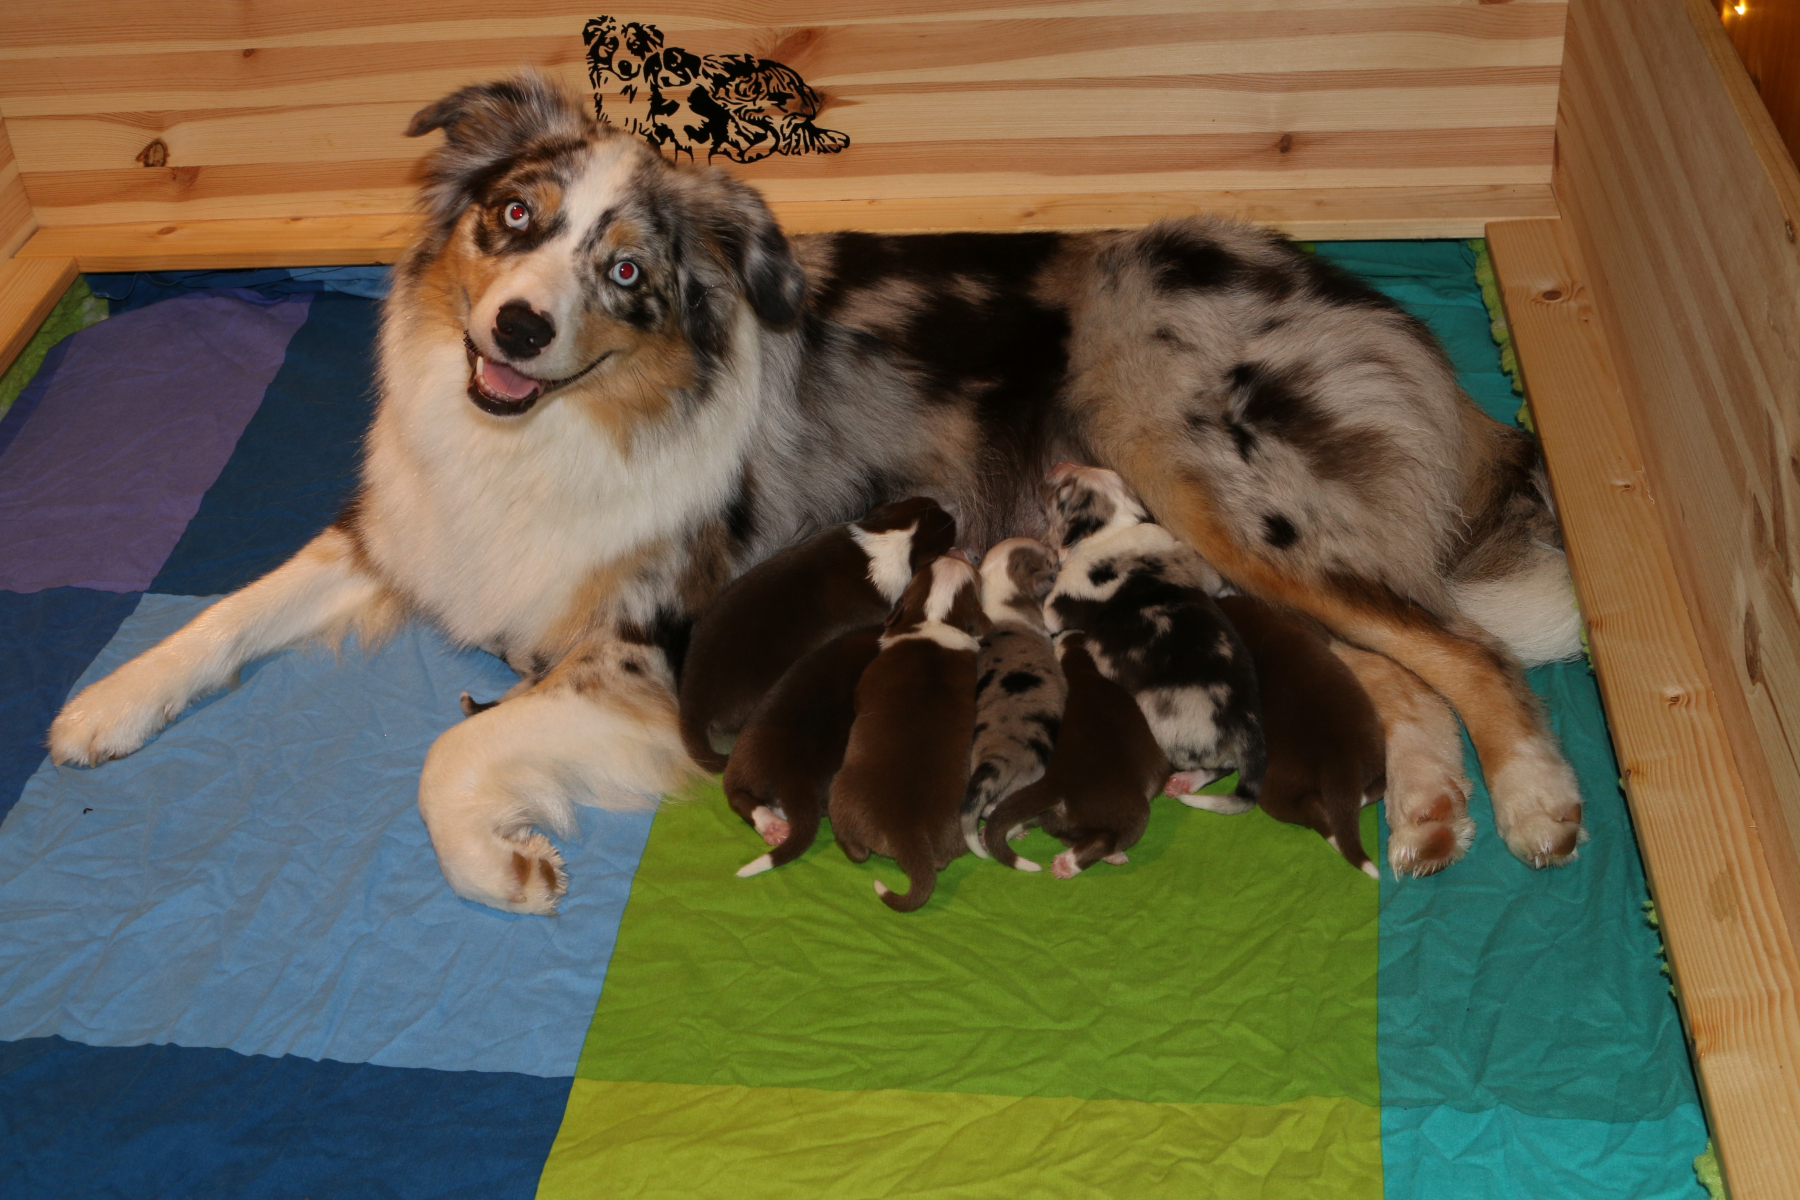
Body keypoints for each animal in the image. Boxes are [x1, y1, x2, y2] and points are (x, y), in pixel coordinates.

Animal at [829, 554, 986, 912]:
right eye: (933, 561)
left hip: (839, 795)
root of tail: (908, 831)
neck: (936, 617)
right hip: (954, 830)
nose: (958, 552)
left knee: (854, 849)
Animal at [963, 538, 1067, 857]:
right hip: (1029, 774)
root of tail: (993, 761)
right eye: (1048, 561)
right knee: (999, 807)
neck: (1001, 599)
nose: (1055, 547)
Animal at [982, 631, 1167, 878]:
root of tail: (1055, 782)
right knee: (1103, 840)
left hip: (1052, 816)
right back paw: (1070, 864)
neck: (1083, 674)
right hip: (1132, 813)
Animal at [1044, 464, 1266, 814]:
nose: (1055, 466)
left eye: (1063, 491)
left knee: (1211, 765)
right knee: (1223, 767)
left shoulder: (1058, 603)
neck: (1115, 526)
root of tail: (1247, 729)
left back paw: (1181, 782)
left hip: (1163, 719)